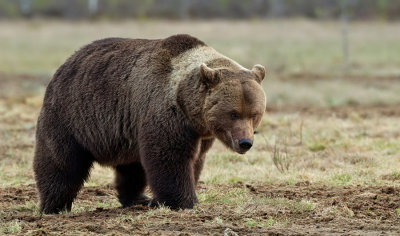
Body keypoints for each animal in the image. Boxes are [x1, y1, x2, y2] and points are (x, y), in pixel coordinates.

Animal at [33, 33, 266, 214]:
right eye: (233, 113)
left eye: (254, 114)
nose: (245, 142)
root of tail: (67, 61)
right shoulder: (166, 114)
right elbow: (170, 158)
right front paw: (184, 201)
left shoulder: (199, 132)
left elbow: (195, 161)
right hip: (71, 116)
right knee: (61, 162)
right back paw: (54, 205)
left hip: (125, 132)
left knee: (132, 168)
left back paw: (138, 198)